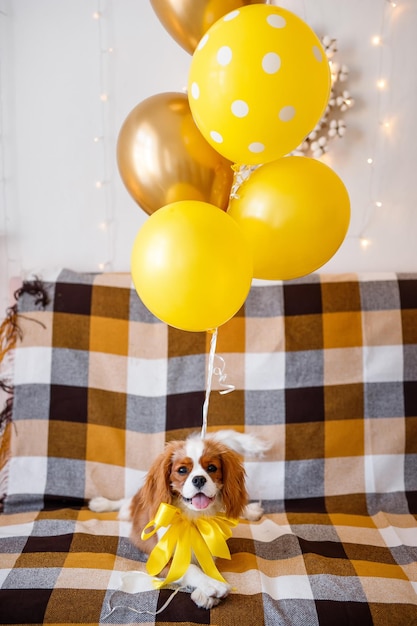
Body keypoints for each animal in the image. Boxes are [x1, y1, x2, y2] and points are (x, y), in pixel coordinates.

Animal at [90, 428, 268, 604]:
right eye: (182, 470)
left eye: (212, 468)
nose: (199, 479)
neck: (193, 517)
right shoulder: (160, 560)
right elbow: (190, 568)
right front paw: (211, 585)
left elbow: (206, 563)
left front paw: (206, 590)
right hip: (129, 508)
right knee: (122, 505)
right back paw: (101, 503)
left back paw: (250, 510)